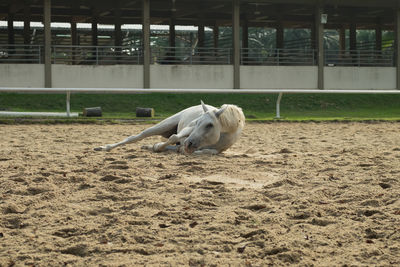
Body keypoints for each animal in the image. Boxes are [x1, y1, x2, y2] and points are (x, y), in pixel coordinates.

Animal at [94, 100, 244, 155]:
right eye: (197, 122)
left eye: (210, 125)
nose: (189, 143)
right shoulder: (188, 130)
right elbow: (173, 137)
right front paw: (157, 146)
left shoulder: (218, 150)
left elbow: (207, 151)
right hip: (164, 124)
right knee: (136, 137)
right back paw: (103, 147)